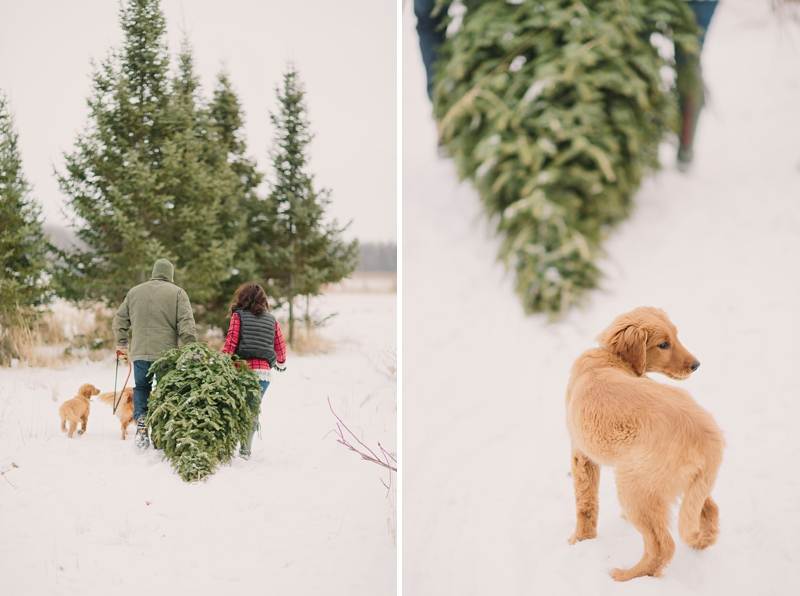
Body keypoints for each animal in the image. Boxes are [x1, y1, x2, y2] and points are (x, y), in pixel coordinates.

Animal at [564, 308, 724, 584]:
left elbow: (585, 504)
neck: (610, 359)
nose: (696, 365)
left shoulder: (581, 454)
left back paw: (626, 576)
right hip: (684, 484)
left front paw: (579, 540)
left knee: (662, 546)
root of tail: (709, 439)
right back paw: (699, 543)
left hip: (633, 486)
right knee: (710, 512)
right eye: (664, 344)